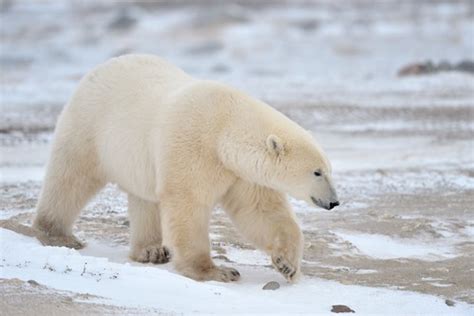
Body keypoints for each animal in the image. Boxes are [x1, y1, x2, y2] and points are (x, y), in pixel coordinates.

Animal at [33, 53, 336, 282]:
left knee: (144, 198)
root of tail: (102, 66)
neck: (224, 128)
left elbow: (261, 211)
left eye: (328, 169)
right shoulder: (193, 145)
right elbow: (187, 205)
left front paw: (287, 265)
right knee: (70, 176)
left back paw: (151, 250)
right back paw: (56, 232)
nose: (334, 202)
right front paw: (217, 271)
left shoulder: (240, 173)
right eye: (317, 172)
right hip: (89, 125)